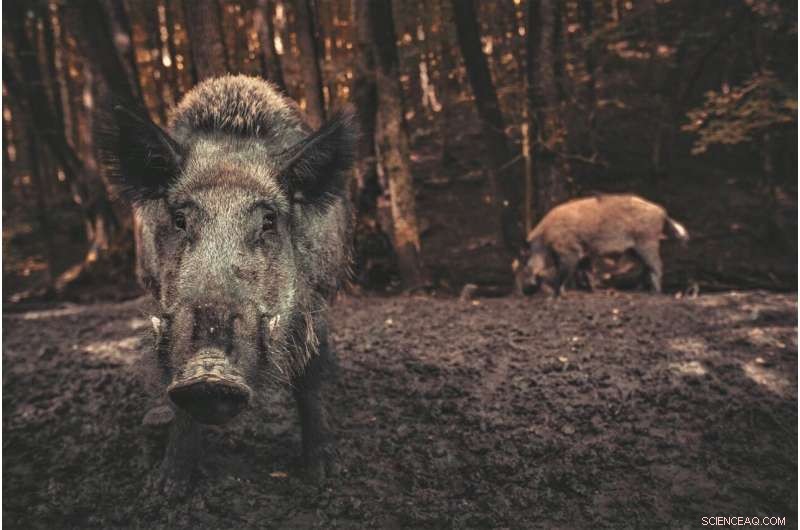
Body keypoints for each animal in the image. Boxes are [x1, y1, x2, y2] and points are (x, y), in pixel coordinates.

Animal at [102, 75, 357, 495]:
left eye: (268, 220)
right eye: (179, 220)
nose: (209, 372)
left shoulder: (317, 293)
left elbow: (310, 374)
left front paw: (323, 476)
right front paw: (167, 488)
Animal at [513, 194, 688, 295]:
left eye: (524, 263)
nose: (524, 291)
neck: (546, 239)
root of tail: (662, 212)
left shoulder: (570, 252)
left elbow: (565, 272)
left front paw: (558, 294)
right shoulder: (582, 253)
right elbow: (586, 271)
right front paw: (593, 291)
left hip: (646, 241)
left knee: (656, 265)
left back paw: (655, 293)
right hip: (636, 248)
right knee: (646, 267)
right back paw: (639, 290)